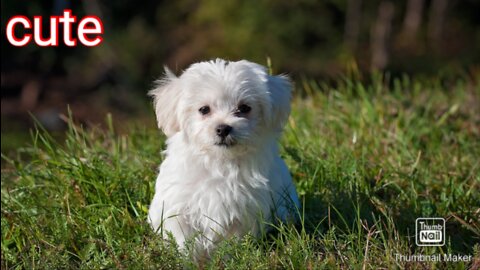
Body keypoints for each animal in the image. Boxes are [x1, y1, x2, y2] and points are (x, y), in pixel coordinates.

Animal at [148, 58, 298, 258]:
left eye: (244, 108)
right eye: (204, 109)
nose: (223, 128)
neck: (219, 162)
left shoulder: (243, 211)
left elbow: (232, 240)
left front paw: (228, 257)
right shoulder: (178, 206)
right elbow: (183, 238)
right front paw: (188, 259)